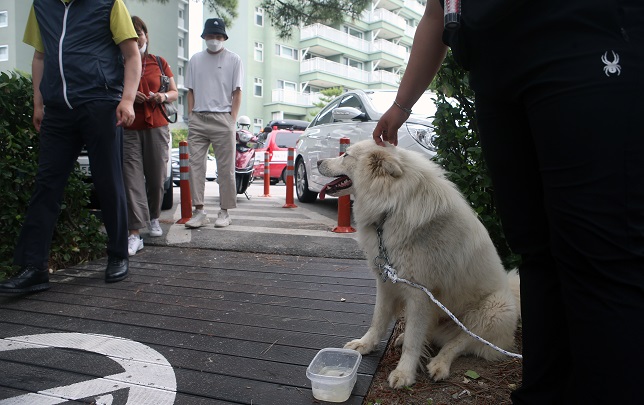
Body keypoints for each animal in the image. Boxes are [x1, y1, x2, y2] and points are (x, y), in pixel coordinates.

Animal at [320, 140, 520, 388]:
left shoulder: (419, 295)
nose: (318, 161)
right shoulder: (386, 283)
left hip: (494, 309)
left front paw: (404, 374)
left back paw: (439, 365)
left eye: (345, 155)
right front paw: (365, 345)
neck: (392, 206)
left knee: (458, 344)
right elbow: (378, 319)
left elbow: (413, 342)